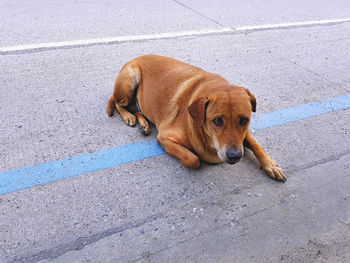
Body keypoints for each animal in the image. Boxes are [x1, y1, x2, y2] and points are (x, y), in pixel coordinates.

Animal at [108, 54, 286, 183]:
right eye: (217, 121)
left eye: (244, 120)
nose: (235, 156)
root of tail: (135, 58)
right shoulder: (166, 137)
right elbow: (193, 159)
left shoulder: (243, 134)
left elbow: (256, 145)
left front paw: (270, 165)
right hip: (130, 79)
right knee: (117, 103)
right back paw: (128, 117)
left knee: (137, 109)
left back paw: (143, 124)